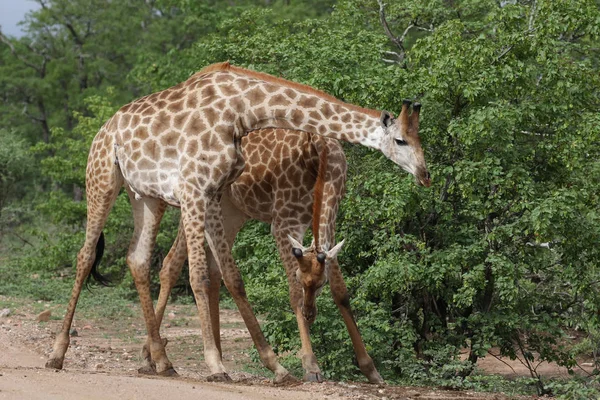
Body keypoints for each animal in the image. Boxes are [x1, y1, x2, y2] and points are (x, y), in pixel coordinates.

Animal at [45, 61, 432, 382]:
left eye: (420, 139)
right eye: (400, 140)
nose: (425, 175)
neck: (241, 110)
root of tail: (106, 126)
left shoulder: (215, 192)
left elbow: (233, 277)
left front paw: (278, 367)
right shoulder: (198, 190)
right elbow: (201, 277)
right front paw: (218, 364)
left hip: (147, 197)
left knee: (138, 259)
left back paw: (161, 361)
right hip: (102, 179)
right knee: (86, 257)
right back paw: (57, 354)